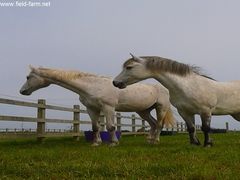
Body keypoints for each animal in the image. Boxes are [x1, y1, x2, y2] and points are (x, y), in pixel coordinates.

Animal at [20, 66, 174, 146]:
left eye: (28, 77)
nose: (22, 91)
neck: (92, 85)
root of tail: (165, 88)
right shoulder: (92, 109)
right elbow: (96, 127)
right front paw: (96, 143)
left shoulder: (108, 108)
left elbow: (110, 127)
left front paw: (113, 143)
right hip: (143, 111)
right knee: (153, 124)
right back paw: (149, 140)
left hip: (161, 108)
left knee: (159, 124)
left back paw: (156, 141)